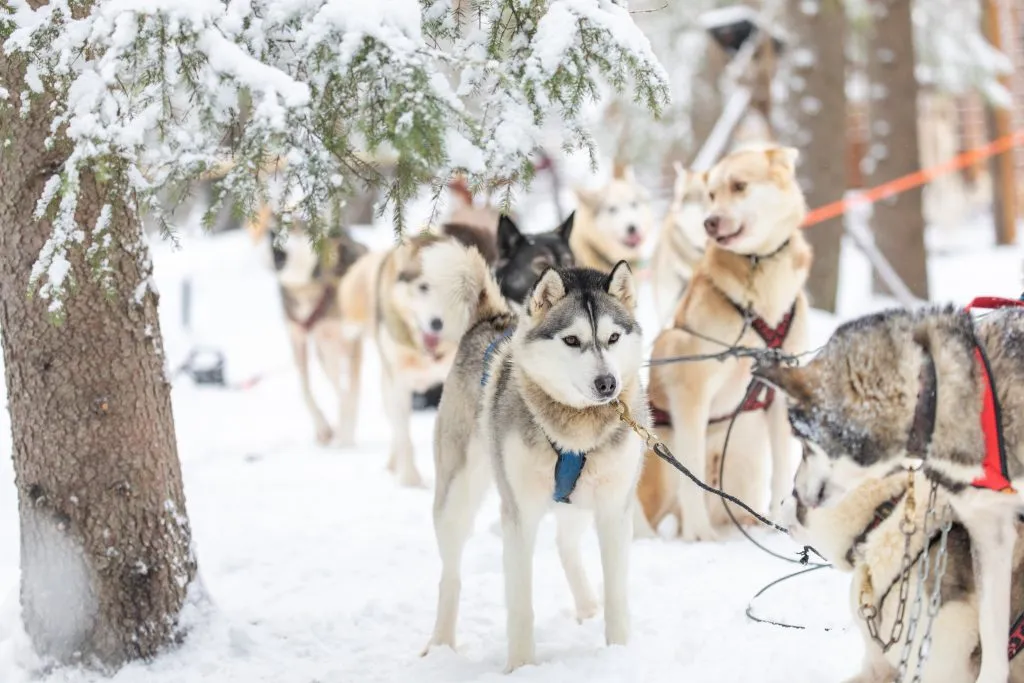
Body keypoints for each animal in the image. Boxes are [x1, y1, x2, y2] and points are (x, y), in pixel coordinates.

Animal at [339, 232, 460, 489]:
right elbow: (404, 437)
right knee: (397, 430)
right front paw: (410, 481)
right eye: (423, 287)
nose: (438, 323)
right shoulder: (399, 386)